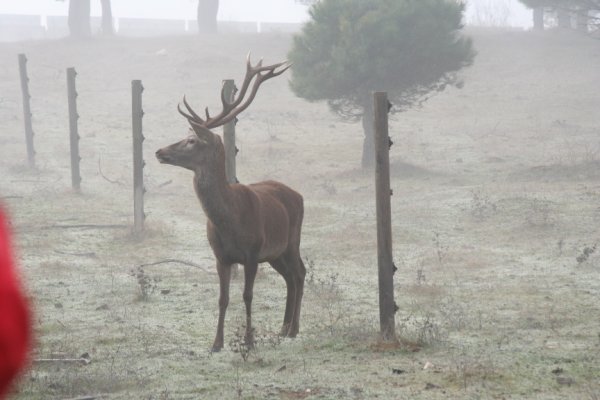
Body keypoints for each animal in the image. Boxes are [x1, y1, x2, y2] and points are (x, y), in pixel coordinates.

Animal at [155, 55, 306, 352]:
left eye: (191, 140)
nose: (159, 151)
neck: (229, 221)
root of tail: (298, 195)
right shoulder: (220, 256)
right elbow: (222, 299)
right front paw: (216, 343)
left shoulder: (252, 252)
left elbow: (247, 295)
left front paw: (248, 341)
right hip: (276, 252)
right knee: (290, 277)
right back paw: (283, 328)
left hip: (291, 240)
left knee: (300, 273)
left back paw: (294, 328)